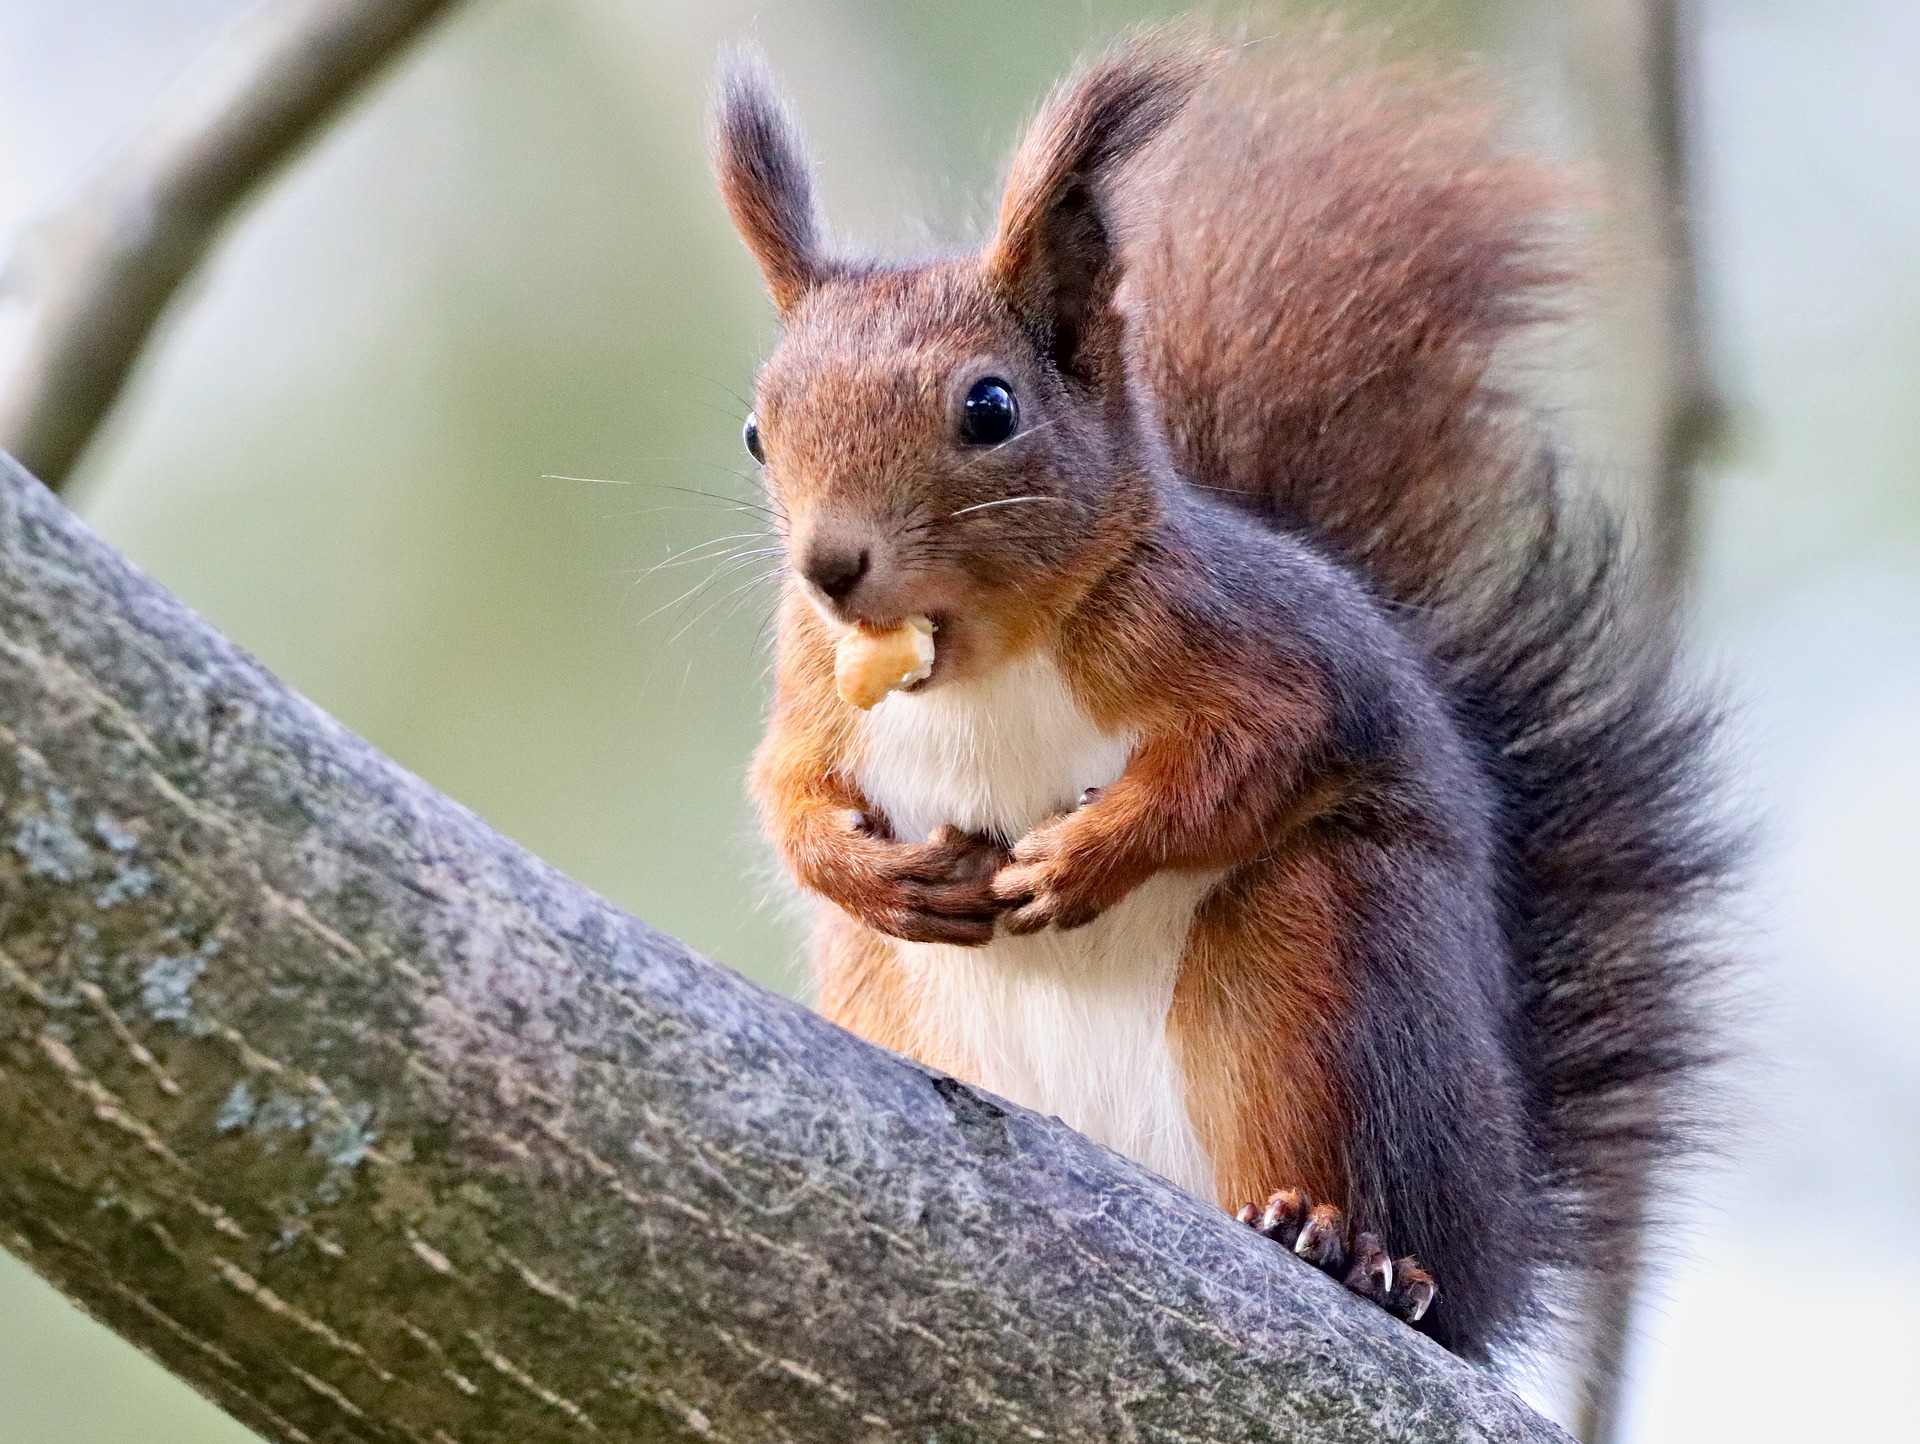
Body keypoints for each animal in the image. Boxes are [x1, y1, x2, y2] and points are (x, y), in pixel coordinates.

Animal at [714, 33, 1735, 1367]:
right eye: (756, 429)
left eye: (990, 408)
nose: (830, 567)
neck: (983, 658)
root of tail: (1497, 1244)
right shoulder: (812, 684)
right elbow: (784, 791)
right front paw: (871, 872)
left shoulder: (1258, 645)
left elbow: (1256, 751)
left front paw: (1089, 854)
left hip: (1327, 969)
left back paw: (1353, 1248)